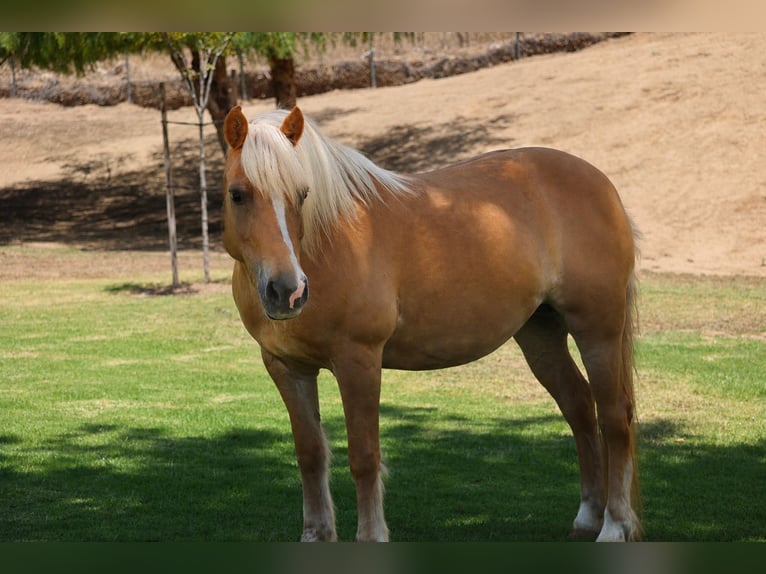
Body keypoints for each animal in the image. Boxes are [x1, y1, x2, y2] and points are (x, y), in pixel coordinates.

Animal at [221, 105, 641, 542]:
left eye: (303, 194)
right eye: (237, 194)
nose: (287, 291)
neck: (326, 246)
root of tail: (601, 183)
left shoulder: (358, 362)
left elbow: (364, 456)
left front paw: (371, 535)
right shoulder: (288, 368)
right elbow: (310, 454)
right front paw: (316, 535)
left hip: (598, 330)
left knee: (614, 417)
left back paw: (615, 525)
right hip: (541, 335)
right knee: (579, 407)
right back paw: (588, 518)